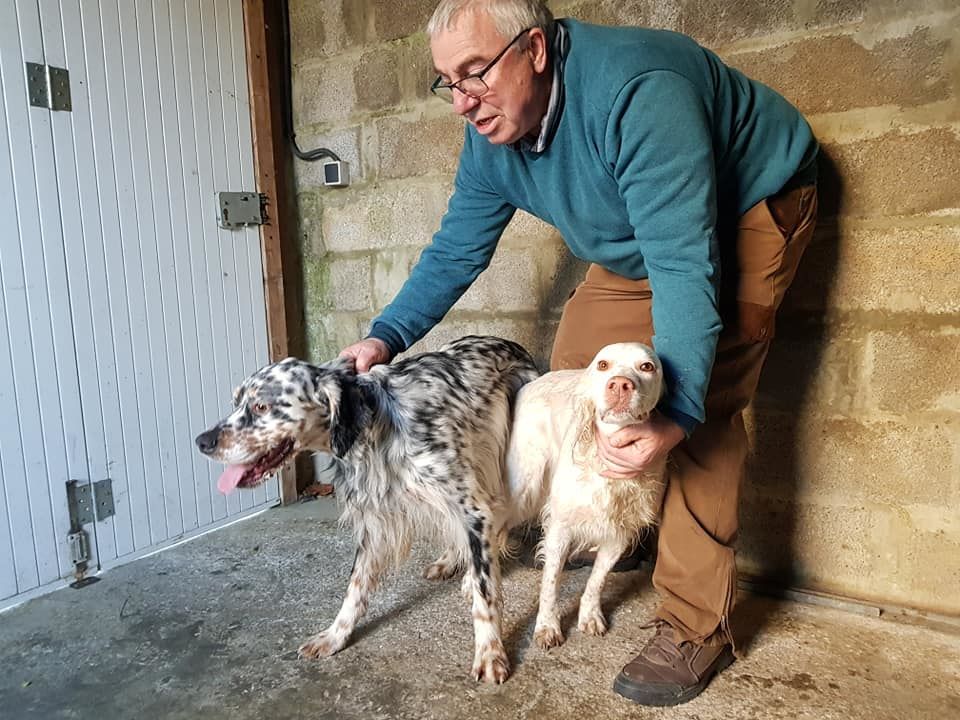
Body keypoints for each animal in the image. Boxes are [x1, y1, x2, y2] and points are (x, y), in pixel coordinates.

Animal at [195, 334, 540, 684]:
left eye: (262, 406)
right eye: (236, 402)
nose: (202, 441)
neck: (374, 427)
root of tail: (509, 343)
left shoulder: (471, 508)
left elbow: (486, 593)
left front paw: (490, 652)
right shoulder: (373, 520)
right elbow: (355, 588)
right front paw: (334, 636)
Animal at [510, 340, 668, 648]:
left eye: (647, 366)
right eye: (603, 365)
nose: (620, 385)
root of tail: (533, 381)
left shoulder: (619, 535)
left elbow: (597, 580)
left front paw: (590, 615)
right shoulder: (560, 528)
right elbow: (550, 583)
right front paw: (547, 625)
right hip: (524, 481)